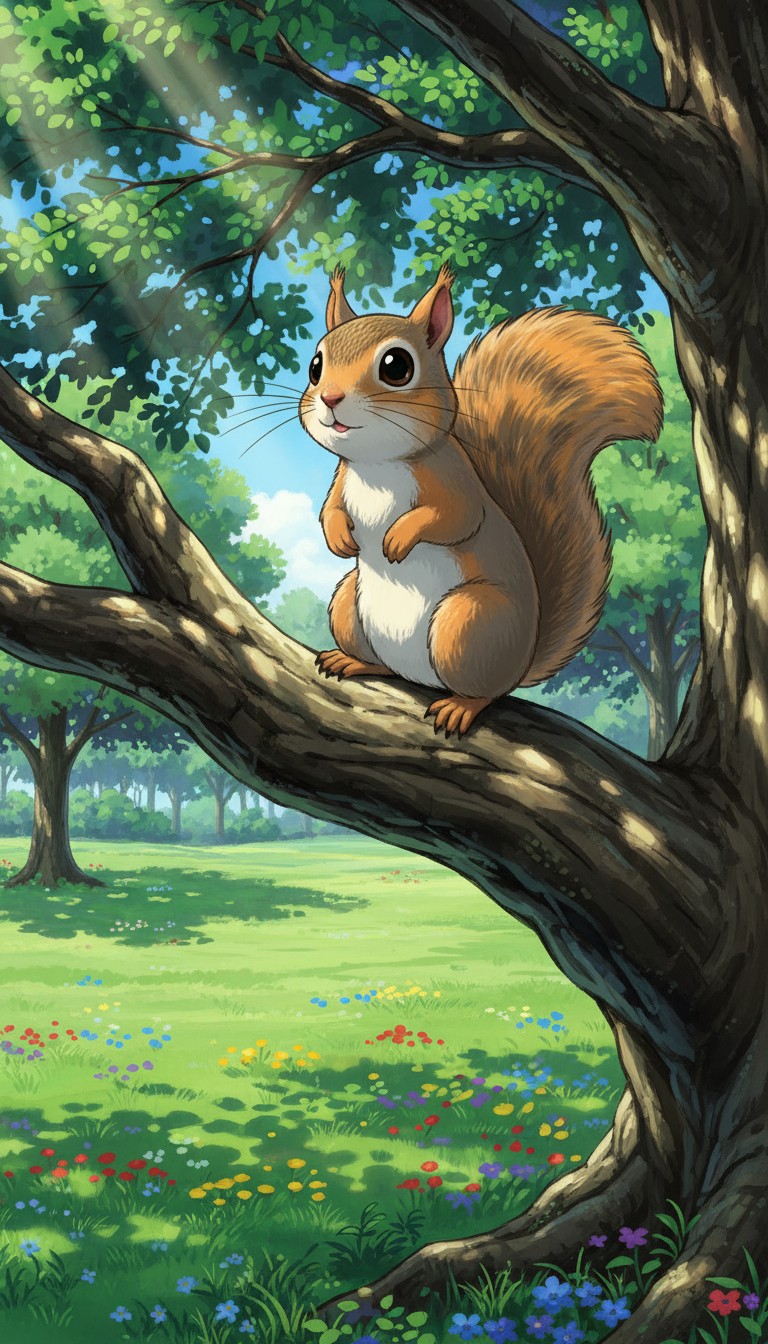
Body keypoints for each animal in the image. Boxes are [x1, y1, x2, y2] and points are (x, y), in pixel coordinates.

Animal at [299, 263, 663, 737]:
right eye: (315, 365)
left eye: (396, 366)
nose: (330, 398)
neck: (379, 464)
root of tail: (522, 662)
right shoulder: (342, 479)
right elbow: (330, 510)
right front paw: (339, 537)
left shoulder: (456, 482)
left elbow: (457, 518)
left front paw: (398, 538)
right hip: (349, 604)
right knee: (383, 663)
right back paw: (353, 661)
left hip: (469, 624)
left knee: (485, 691)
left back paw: (461, 707)